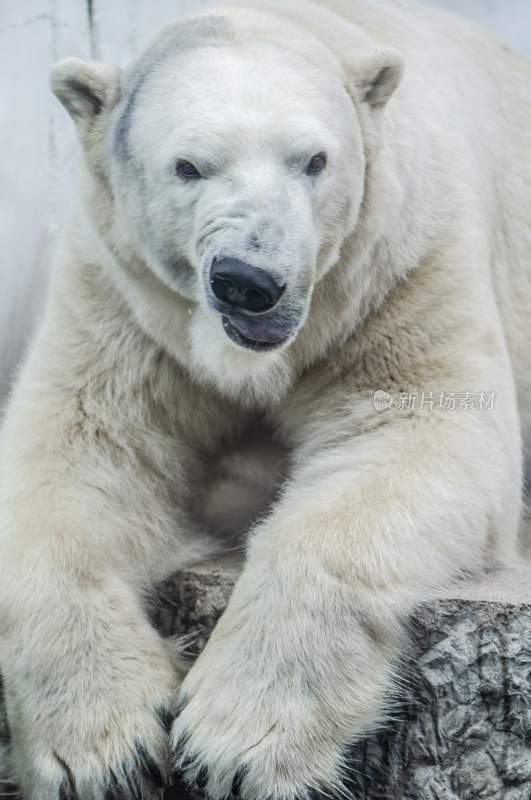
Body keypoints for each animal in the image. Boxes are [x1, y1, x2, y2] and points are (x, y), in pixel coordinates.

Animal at [1, 0, 531, 796]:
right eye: (188, 166)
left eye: (313, 160)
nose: (251, 281)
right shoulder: (122, 296)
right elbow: (77, 449)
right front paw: (106, 751)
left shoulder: (399, 264)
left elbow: (419, 428)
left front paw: (234, 746)